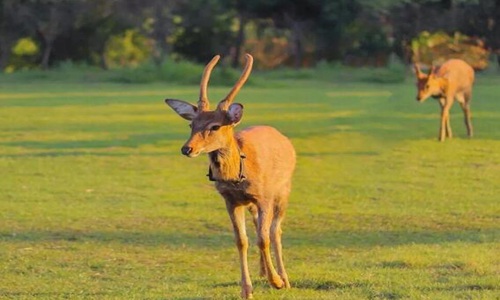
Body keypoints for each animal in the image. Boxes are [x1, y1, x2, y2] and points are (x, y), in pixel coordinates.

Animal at [164, 52, 296, 298]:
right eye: (191, 124)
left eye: (215, 126)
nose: (187, 148)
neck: (238, 175)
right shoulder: (230, 200)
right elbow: (241, 240)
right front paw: (246, 289)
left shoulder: (264, 197)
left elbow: (263, 238)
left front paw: (276, 281)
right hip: (253, 203)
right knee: (258, 226)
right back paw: (263, 272)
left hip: (283, 190)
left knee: (275, 230)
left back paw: (284, 278)